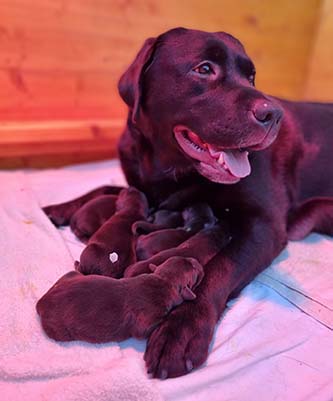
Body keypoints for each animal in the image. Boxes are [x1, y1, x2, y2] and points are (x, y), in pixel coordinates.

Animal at [35, 258, 202, 342]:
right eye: (194, 268)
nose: (196, 260)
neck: (164, 280)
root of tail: (42, 302)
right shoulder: (147, 319)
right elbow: (144, 330)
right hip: (58, 331)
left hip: (68, 277)